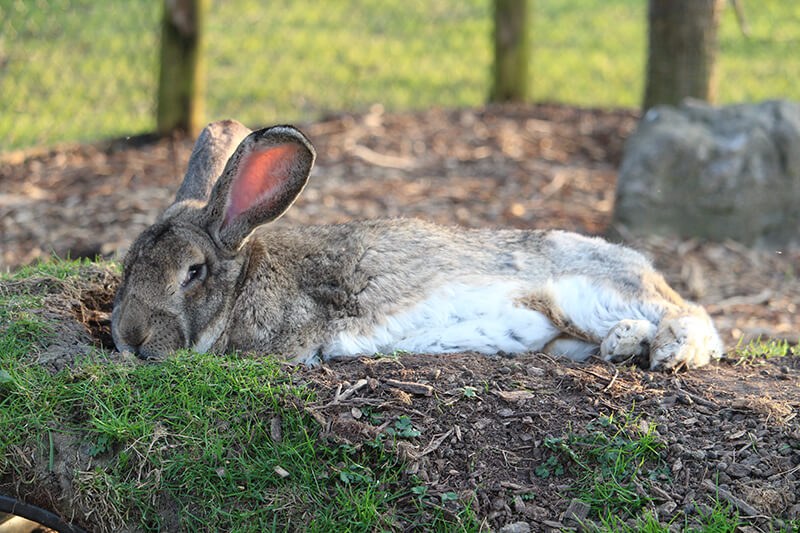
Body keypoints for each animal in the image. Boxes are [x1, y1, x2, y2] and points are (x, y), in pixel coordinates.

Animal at [111, 120, 724, 371]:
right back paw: (624, 348)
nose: (129, 338)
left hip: (587, 294)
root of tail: (644, 269)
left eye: (192, 272)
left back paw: (668, 352)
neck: (241, 284)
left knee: (692, 316)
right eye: (125, 268)